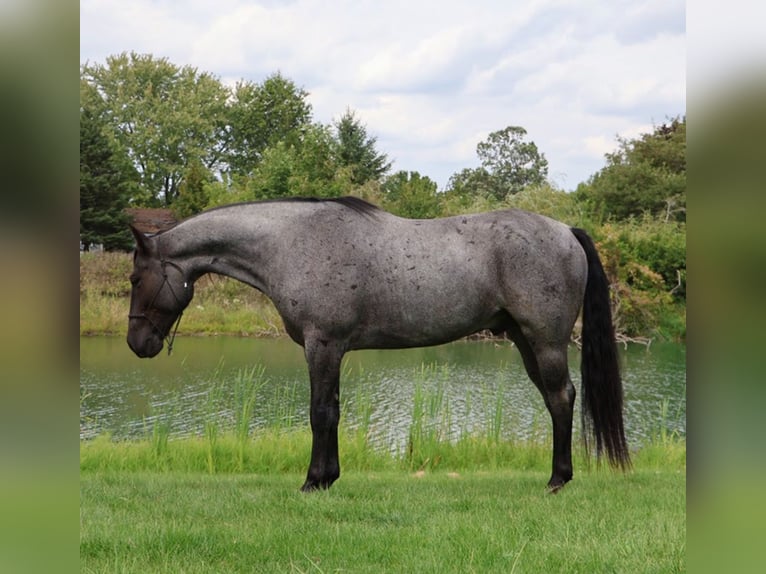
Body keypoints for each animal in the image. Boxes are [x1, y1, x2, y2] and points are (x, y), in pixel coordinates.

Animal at [127, 196, 630, 492]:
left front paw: (314, 482)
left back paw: (558, 480)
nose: (136, 342)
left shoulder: (322, 345)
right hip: (525, 341)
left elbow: (320, 413)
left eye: (134, 278)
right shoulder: (329, 350)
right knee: (554, 399)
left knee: (562, 398)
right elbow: (332, 411)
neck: (292, 242)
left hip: (545, 341)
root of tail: (565, 231)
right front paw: (330, 477)